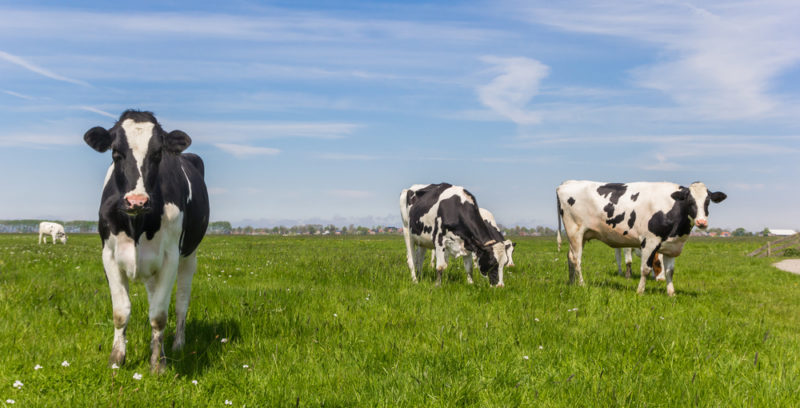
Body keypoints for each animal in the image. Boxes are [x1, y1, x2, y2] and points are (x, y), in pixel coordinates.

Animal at [83, 109, 209, 372]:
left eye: (158, 153)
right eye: (115, 153)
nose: (137, 201)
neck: (136, 226)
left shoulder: (171, 257)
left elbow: (159, 315)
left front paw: (158, 364)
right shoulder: (109, 255)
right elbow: (121, 312)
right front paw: (116, 360)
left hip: (189, 256)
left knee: (181, 302)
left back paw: (178, 344)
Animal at [556, 180, 724, 294]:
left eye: (708, 201)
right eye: (690, 200)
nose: (702, 222)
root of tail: (567, 183)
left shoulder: (671, 246)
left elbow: (670, 271)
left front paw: (671, 293)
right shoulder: (649, 241)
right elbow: (645, 269)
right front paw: (640, 291)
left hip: (581, 236)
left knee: (570, 256)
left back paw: (571, 283)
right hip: (575, 232)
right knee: (577, 259)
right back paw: (582, 284)